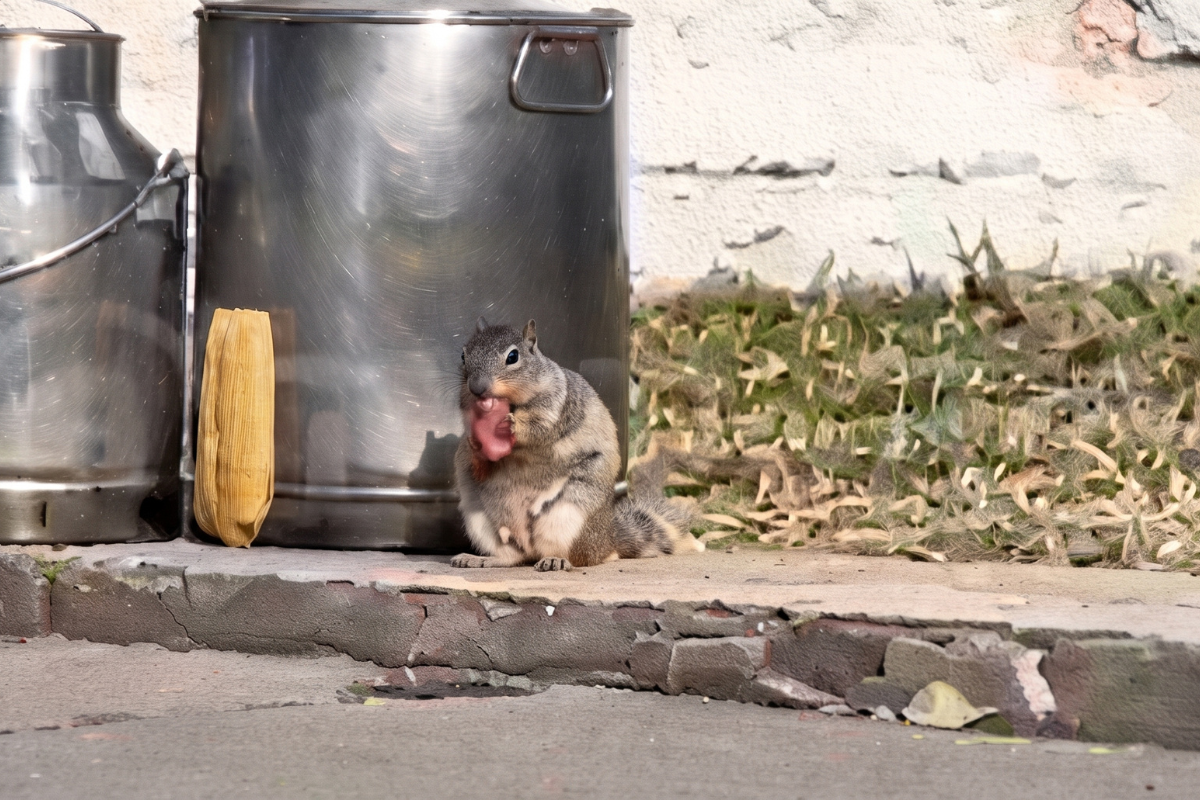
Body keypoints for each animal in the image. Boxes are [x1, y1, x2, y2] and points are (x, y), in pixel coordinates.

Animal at [451, 318, 702, 571]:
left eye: (513, 357)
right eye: (463, 355)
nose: (477, 388)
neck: (514, 402)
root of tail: (607, 541)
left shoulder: (560, 407)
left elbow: (539, 430)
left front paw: (512, 423)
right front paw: (474, 447)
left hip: (570, 515)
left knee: (580, 557)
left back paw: (556, 560)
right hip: (480, 519)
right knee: (513, 556)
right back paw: (480, 559)